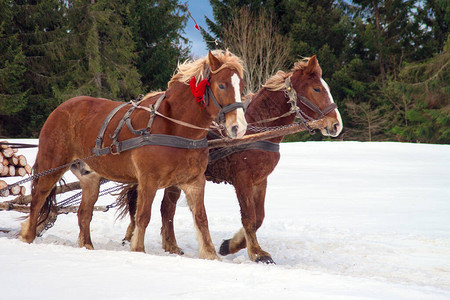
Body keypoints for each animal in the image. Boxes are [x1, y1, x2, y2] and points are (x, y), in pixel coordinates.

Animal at [20, 50, 246, 258]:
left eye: (241, 87)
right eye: (222, 85)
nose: (239, 127)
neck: (175, 127)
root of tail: (60, 108)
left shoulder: (194, 182)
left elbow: (201, 218)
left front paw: (210, 254)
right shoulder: (148, 180)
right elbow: (143, 216)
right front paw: (138, 249)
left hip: (90, 178)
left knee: (84, 213)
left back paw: (87, 246)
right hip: (52, 165)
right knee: (38, 199)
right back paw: (27, 236)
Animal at [118, 55, 342, 264]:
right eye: (317, 89)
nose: (336, 124)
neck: (256, 128)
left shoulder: (260, 180)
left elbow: (259, 217)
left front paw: (230, 245)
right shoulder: (242, 178)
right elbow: (249, 217)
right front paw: (256, 253)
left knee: (166, 208)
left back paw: (166, 244)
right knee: (145, 203)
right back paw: (139, 239)